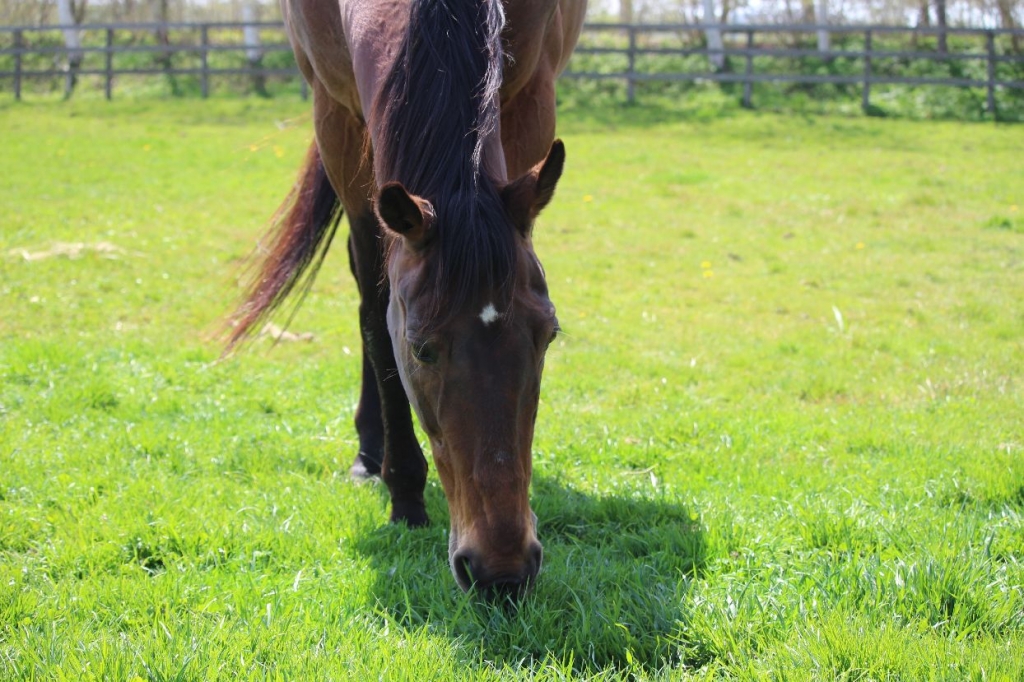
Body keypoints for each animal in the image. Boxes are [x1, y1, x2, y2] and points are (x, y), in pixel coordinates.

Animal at [229, 0, 589, 593]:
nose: (502, 573)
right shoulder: (339, 118)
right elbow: (377, 311)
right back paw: (370, 454)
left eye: (548, 336)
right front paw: (404, 494)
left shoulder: (531, 101)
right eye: (421, 348)